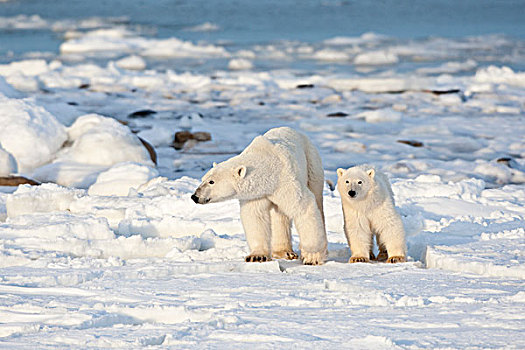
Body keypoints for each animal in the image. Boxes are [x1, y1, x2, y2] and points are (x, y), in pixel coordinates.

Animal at [190, 127, 326, 264]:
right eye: (203, 179)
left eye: (211, 182)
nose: (195, 196)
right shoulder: (256, 194)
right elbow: (255, 216)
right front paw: (257, 256)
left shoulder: (286, 182)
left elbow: (303, 207)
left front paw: (311, 257)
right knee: (279, 215)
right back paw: (284, 252)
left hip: (311, 161)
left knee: (317, 198)